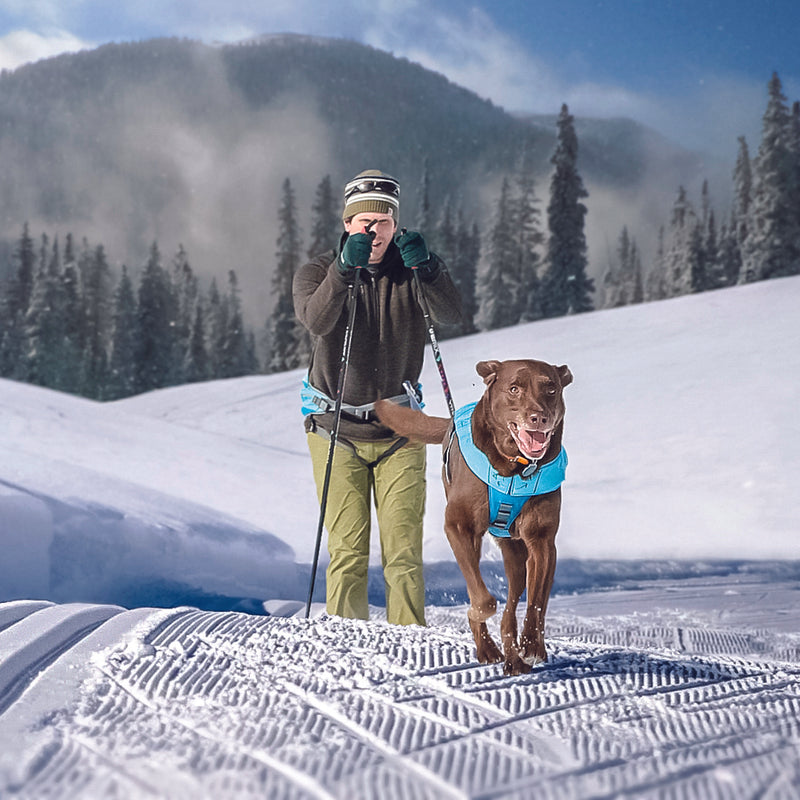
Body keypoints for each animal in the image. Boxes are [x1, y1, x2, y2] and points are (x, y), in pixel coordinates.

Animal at [378, 360, 572, 672]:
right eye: (514, 388)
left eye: (551, 388)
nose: (539, 418)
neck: (515, 468)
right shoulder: (458, 527)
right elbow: (482, 601)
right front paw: (475, 616)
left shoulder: (541, 541)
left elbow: (537, 601)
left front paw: (532, 646)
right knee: (487, 596)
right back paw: (489, 649)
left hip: (516, 553)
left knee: (512, 604)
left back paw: (515, 657)